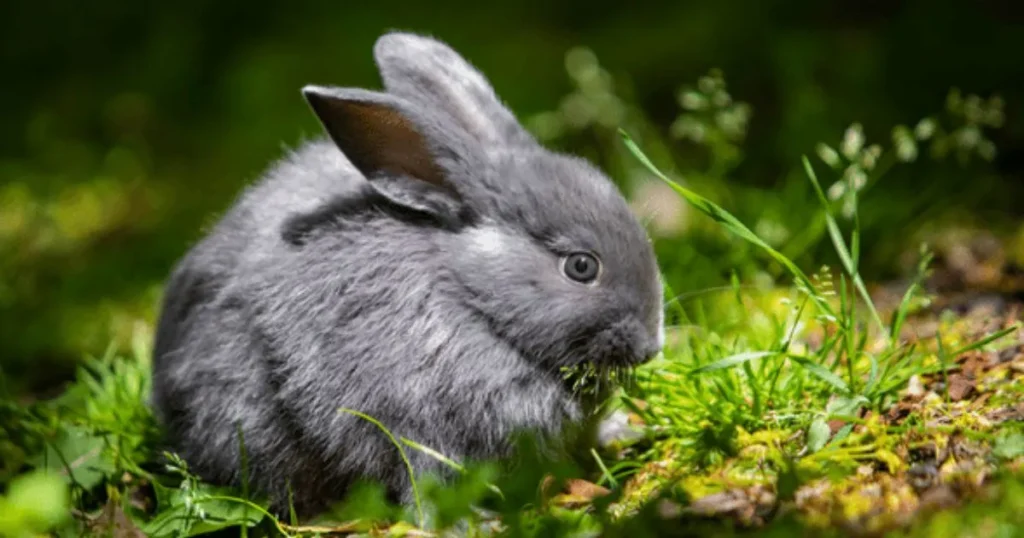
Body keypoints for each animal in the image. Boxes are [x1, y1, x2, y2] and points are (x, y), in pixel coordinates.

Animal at [149, 31, 663, 518]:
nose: (650, 347)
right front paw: (465, 522)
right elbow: (420, 480)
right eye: (581, 266)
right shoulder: (407, 421)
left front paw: (629, 430)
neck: (471, 297)